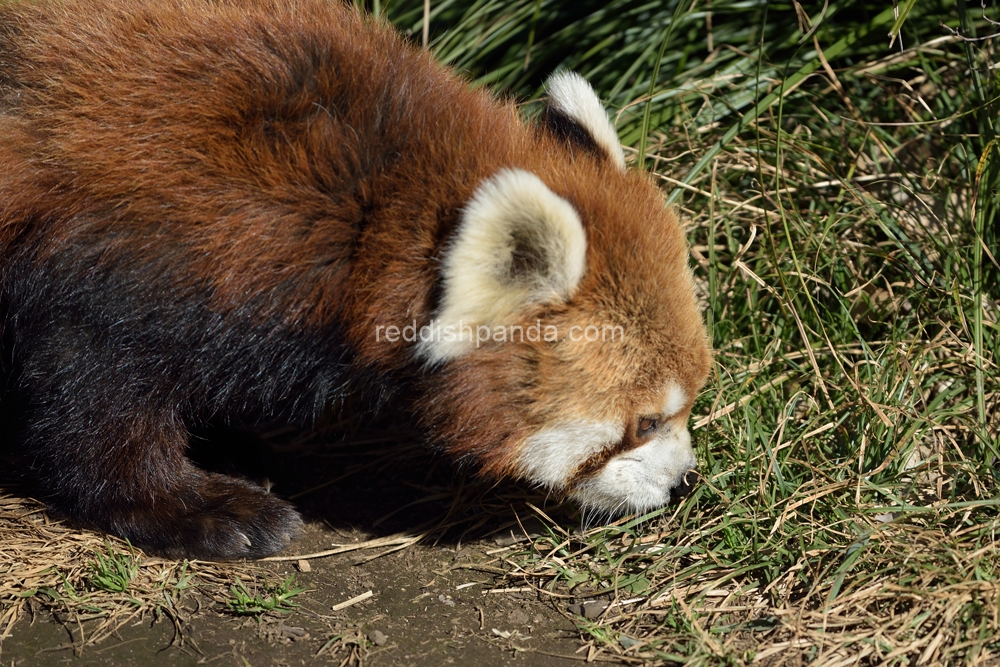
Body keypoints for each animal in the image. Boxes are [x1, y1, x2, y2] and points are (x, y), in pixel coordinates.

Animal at [3, 0, 716, 560]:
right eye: (646, 422)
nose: (684, 480)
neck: (372, 212)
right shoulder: (132, 252)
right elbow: (94, 391)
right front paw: (194, 506)